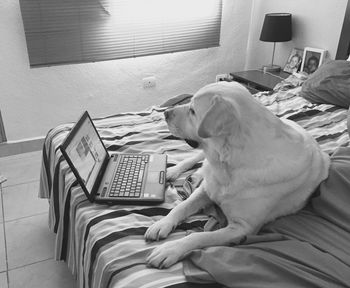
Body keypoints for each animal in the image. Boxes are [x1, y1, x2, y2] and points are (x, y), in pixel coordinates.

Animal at [144, 80, 330, 268]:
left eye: (193, 111)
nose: (165, 113)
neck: (227, 163)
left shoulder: (242, 228)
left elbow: (200, 236)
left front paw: (170, 249)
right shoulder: (207, 189)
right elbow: (181, 207)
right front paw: (162, 224)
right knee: (194, 160)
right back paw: (173, 171)